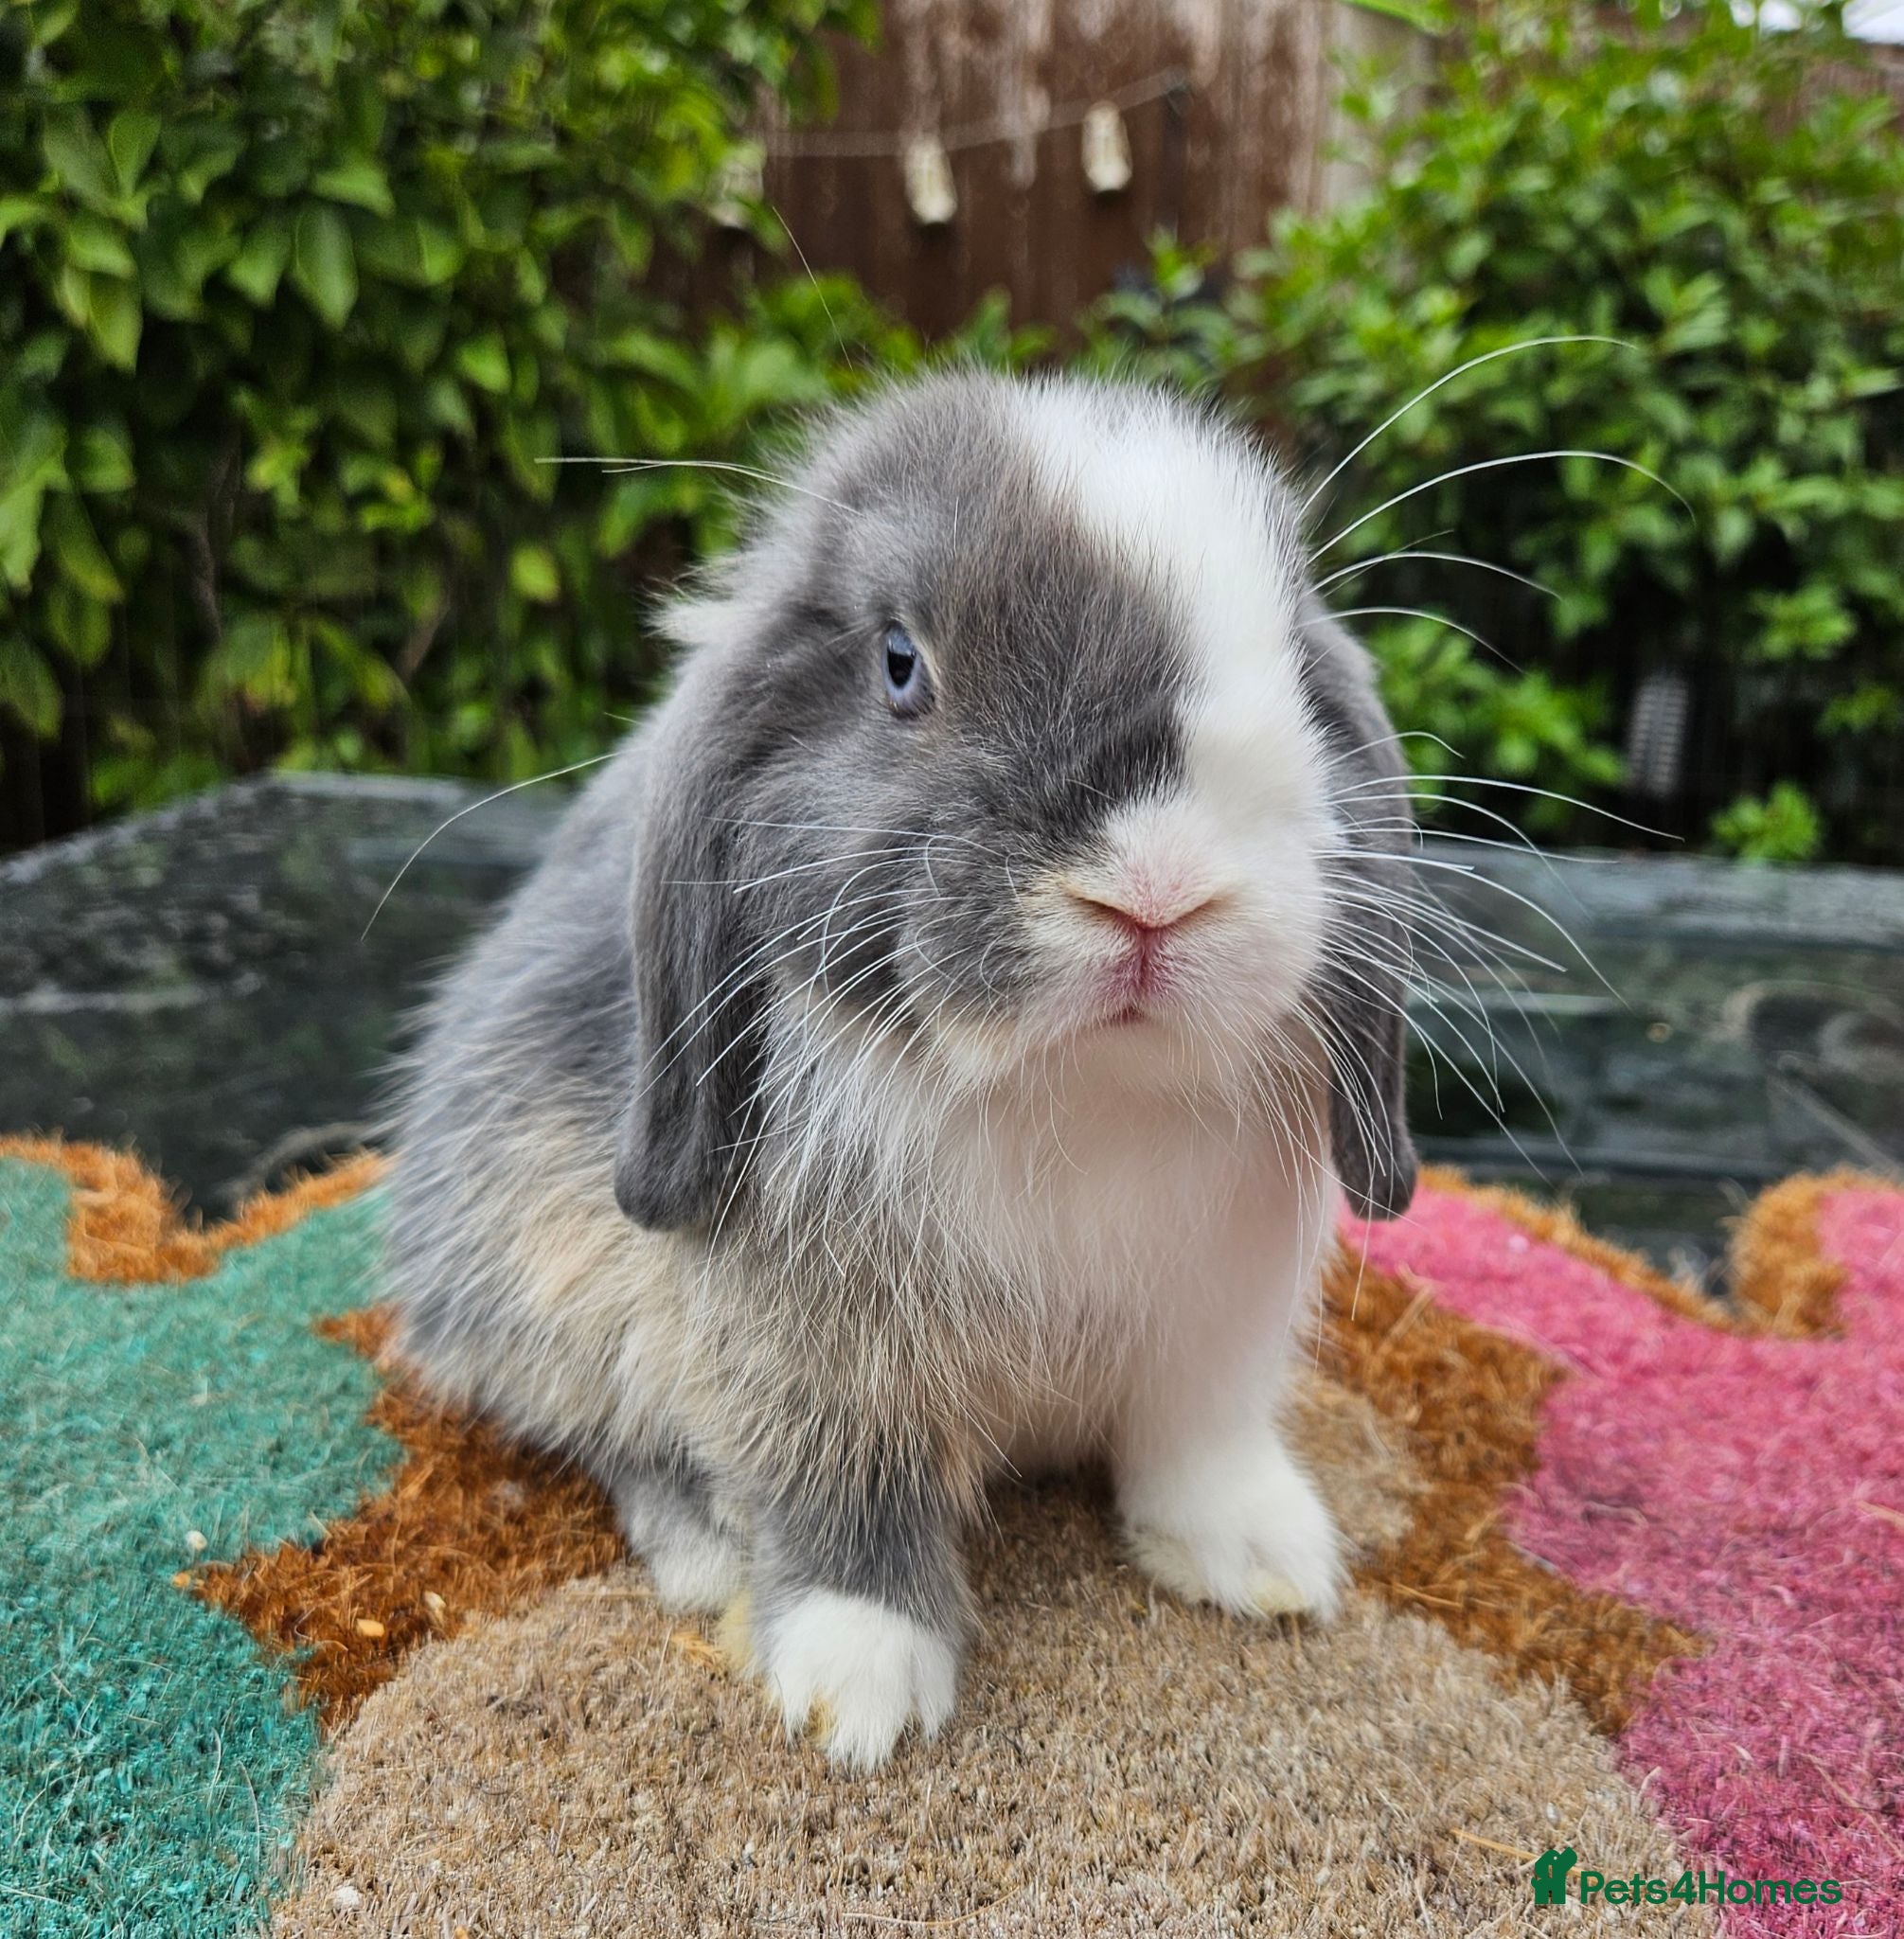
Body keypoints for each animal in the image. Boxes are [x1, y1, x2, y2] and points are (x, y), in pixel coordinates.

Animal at [387, 371, 1418, 1771]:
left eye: (1300, 679)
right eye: (898, 664)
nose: (1156, 891)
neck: (1071, 1093)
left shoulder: (1215, 1326)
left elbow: (1193, 1435)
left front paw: (1257, 1557)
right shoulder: (805, 1347)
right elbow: (837, 1483)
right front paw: (859, 1680)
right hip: (532, 1265)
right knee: (605, 1429)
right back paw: (709, 1551)